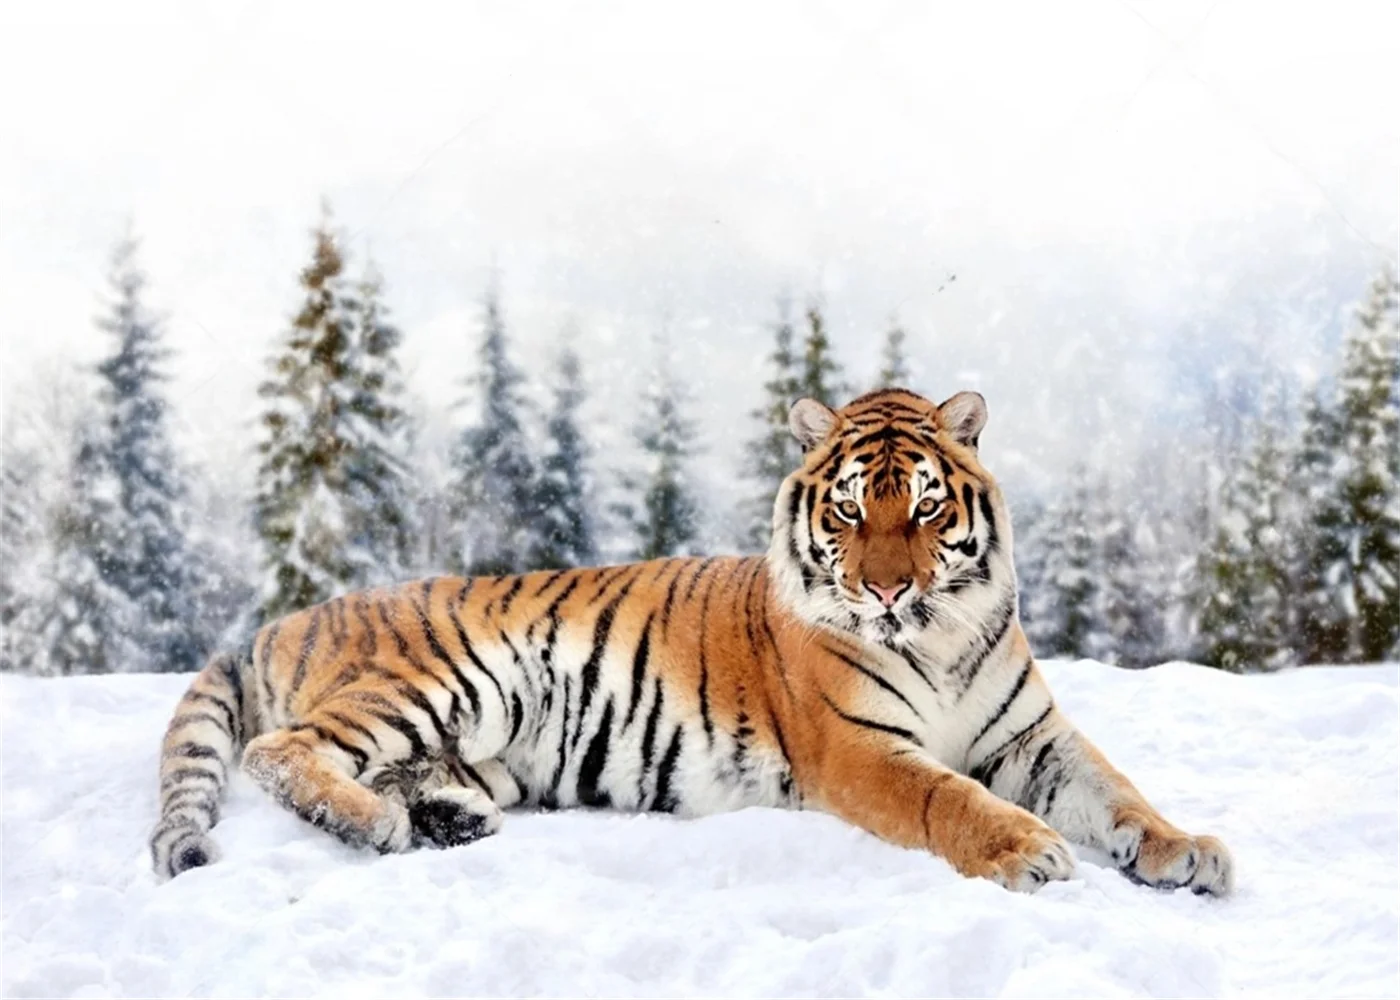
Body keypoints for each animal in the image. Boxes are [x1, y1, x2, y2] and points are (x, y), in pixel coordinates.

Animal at [150, 387, 1233, 896]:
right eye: (850, 511)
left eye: (926, 507)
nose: (888, 590)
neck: (942, 635)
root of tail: (290, 615)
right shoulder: (860, 748)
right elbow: (948, 799)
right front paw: (1029, 851)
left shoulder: (1030, 736)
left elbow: (1116, 792)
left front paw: (1186, 852)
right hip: (446, 679)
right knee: (280, 751)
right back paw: (379, 825)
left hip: (479, 740)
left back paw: (449, 820)